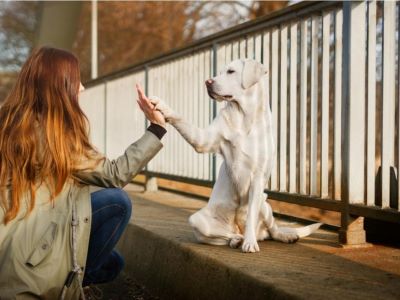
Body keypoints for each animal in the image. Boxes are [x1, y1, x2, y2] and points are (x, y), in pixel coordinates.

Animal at [150, 59, 322, 253]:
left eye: (231, 71)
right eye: (219, 72)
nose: (208, 82)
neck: (244, 117)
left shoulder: (258, 178)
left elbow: (252, 215)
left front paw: (250, 243)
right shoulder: (203, 140)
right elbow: (182, 120)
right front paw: (162, 106)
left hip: (265, 203)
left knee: (272, 229)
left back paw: (281, 236)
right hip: (198, 221)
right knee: (225, 235)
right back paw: (236, 239)